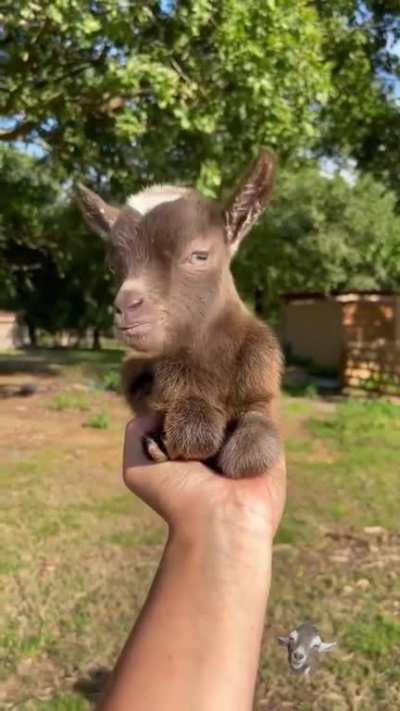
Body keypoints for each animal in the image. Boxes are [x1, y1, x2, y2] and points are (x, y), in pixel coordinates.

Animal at [77, 150, 283, 478]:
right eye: (113, 267)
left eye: (199, 256)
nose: (126, 305)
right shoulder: (143, 370)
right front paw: (182, 429)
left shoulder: (261, 376)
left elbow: (254, 447)